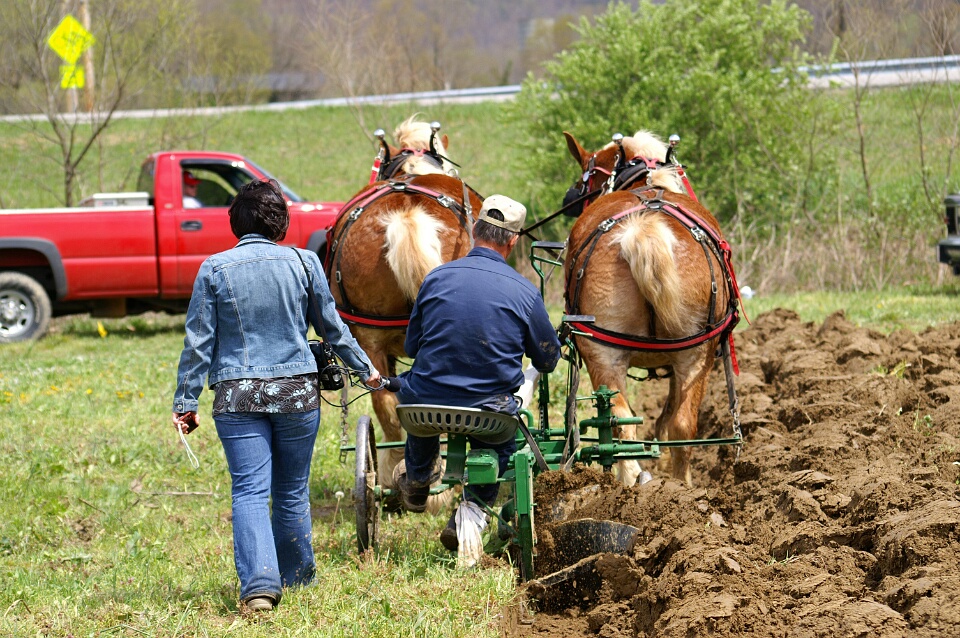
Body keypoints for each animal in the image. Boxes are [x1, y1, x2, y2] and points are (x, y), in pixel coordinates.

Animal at [561, 130, 741, 487]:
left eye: (585, 179)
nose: (570, 198)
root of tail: (643, 227)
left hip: (610, 353)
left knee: (628, 425)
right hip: (693, 354)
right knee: (671, 427)